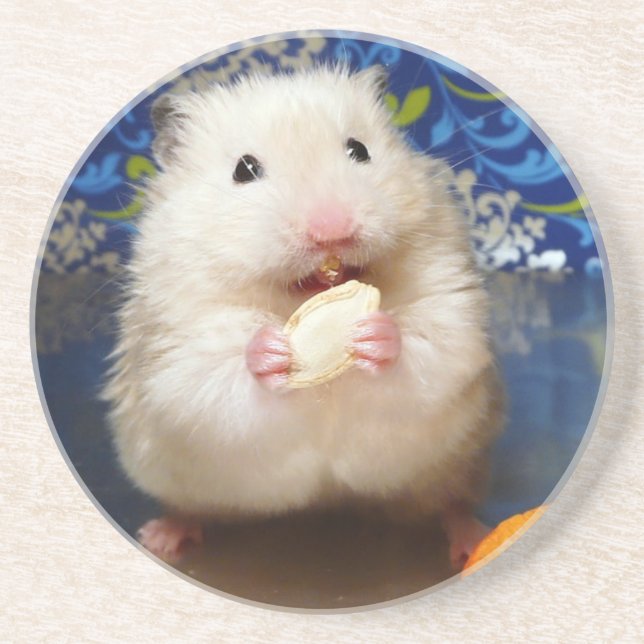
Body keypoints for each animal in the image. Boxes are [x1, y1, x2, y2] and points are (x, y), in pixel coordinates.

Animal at [103, 64, 504, 569]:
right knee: (190, 507)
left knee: (450, 504)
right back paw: (161, 536)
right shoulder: (174, 346)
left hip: (457, 466)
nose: (332, 230)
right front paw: (270, 352)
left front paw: (375, 335)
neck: (295, 300)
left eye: (359, 150)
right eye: (243, 170)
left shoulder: (450, 303)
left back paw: (474, 538)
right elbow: (212, 376)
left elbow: (433, 347)